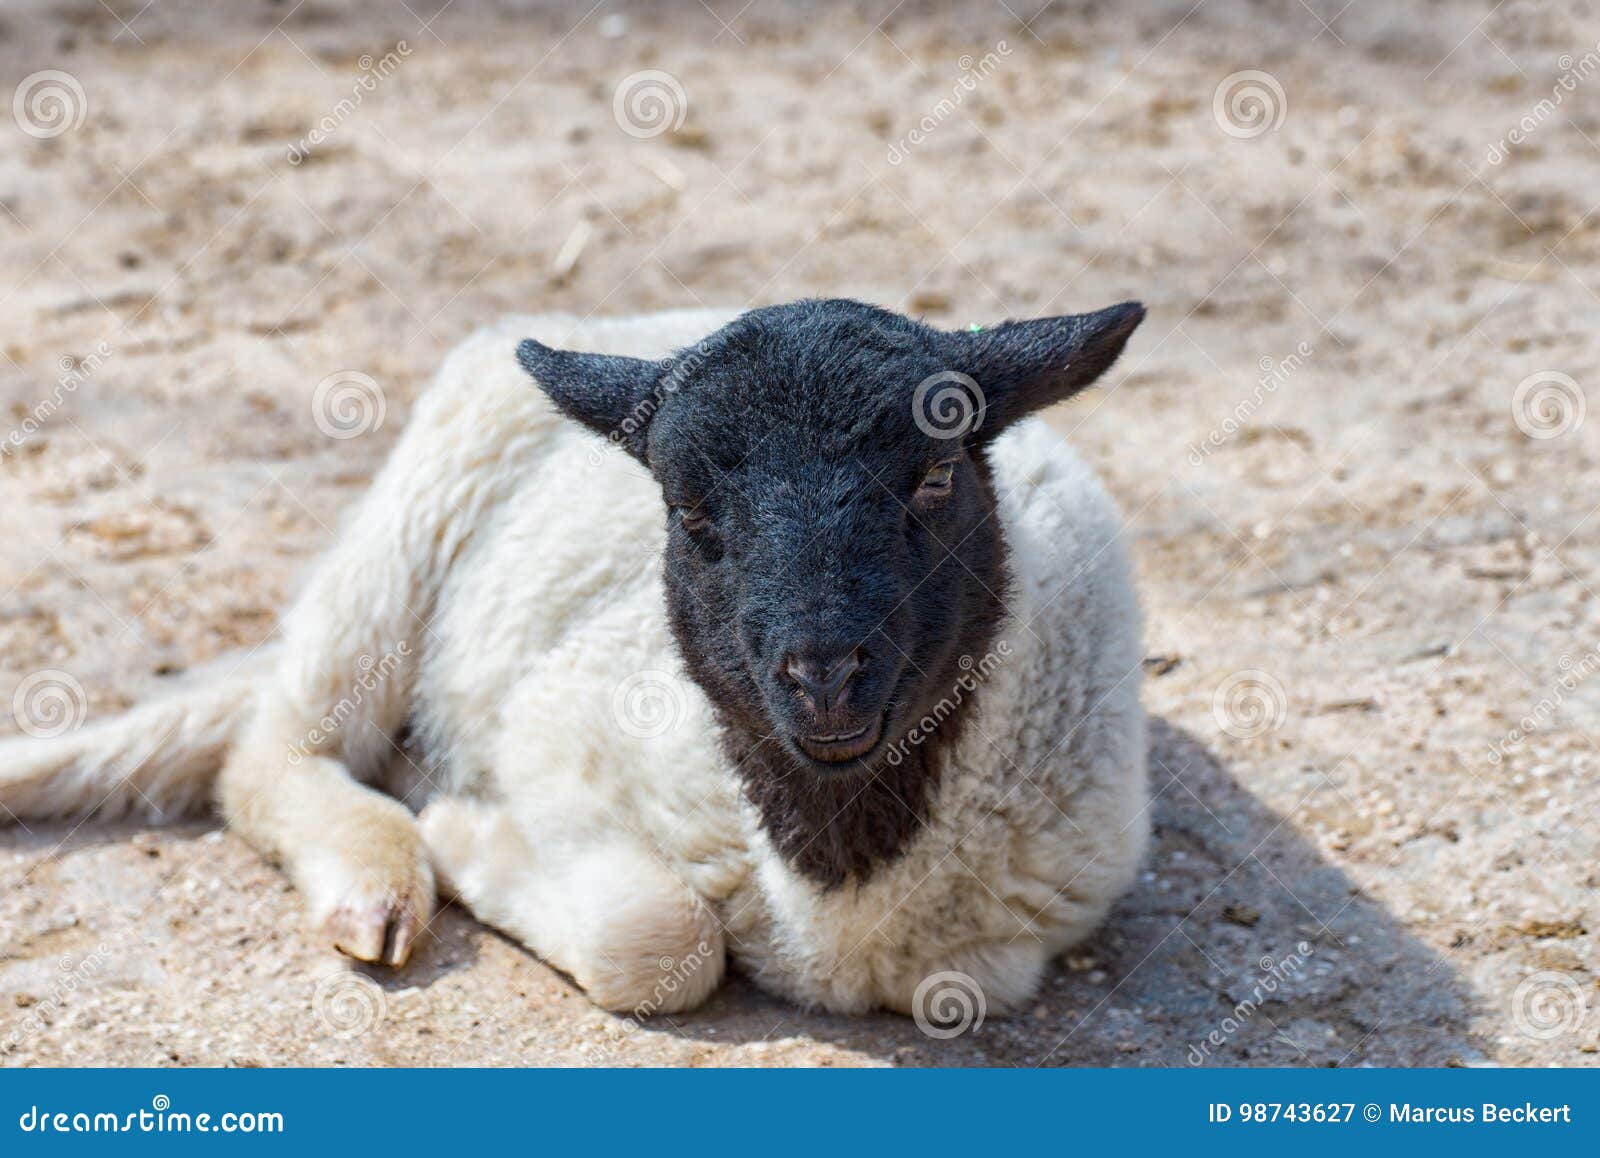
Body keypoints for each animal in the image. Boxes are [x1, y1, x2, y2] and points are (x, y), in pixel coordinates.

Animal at [0, 300, 1152, 1023]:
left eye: (934, 479)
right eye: (687, 511)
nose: (824, 673)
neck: (828, 891)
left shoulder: (1009, 934)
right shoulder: (557, 733)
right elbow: (659, 941)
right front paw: (461, 834)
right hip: (411, 522)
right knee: (273, 751)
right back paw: (379, 876)